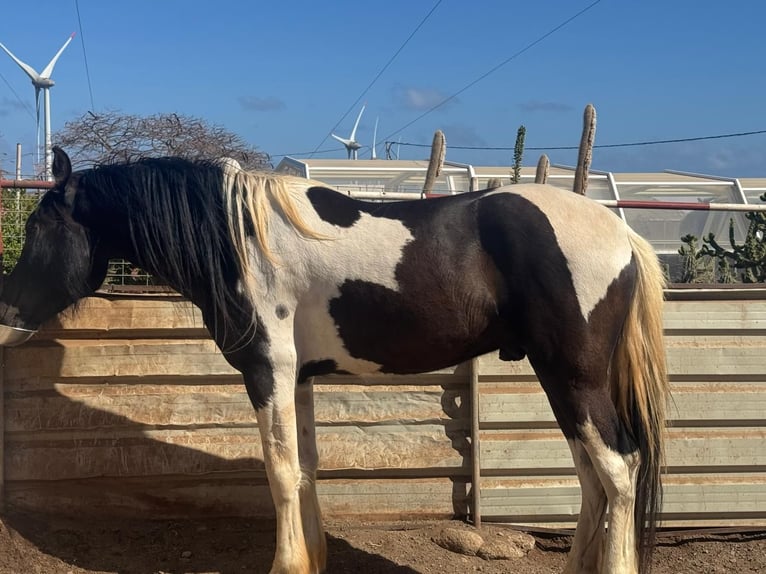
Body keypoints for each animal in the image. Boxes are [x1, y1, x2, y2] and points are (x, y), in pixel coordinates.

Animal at [0, 148, 668, 574]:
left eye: (36, 229)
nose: (6, 312)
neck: (240, 240)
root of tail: (622, 234)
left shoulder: (266, 371)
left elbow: (278, 472)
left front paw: (287, 564)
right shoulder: (296, 379)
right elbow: (304, 470)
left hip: (574, 378)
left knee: (617, 470)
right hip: (566, 383)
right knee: (593, 477)